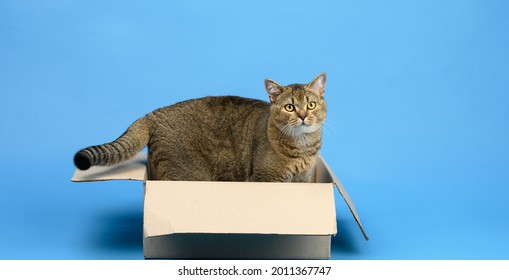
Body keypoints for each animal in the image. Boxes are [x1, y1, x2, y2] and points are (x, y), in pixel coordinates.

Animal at [72, 72, 326, 182]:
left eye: (311, 104)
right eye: (290, 107)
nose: (303, 115)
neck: (302, 146)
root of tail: (154, 113)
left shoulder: (303, 179)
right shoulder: (266, 178)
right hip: (187, 173)